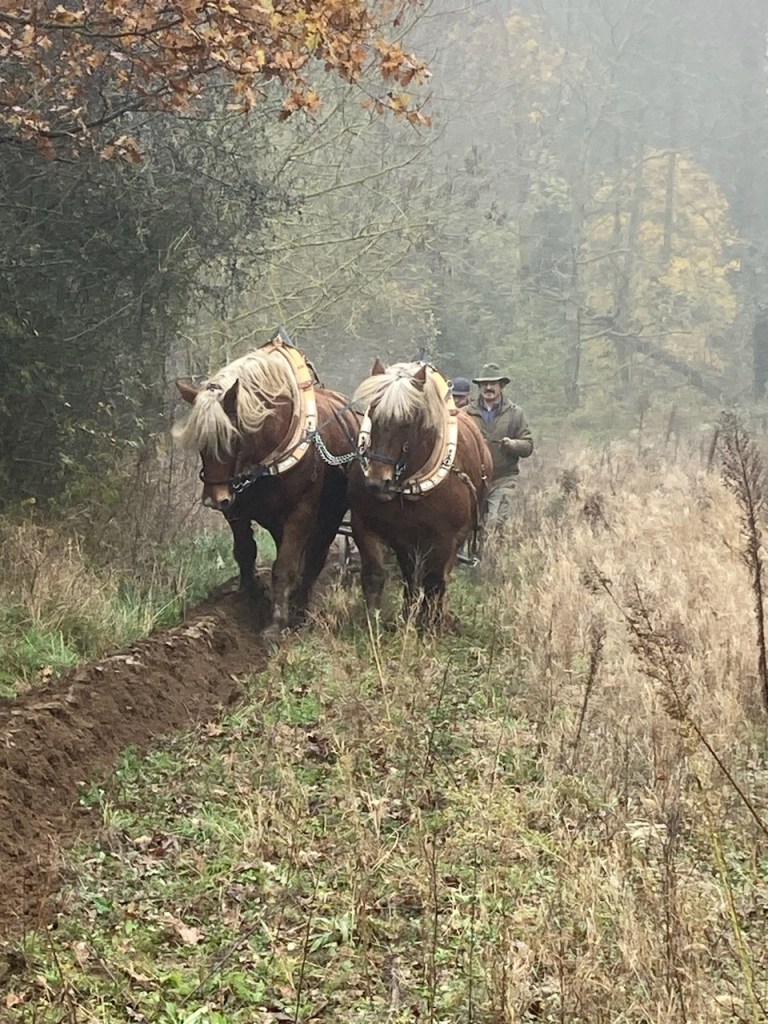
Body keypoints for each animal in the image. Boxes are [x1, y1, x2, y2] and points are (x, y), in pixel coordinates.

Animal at [174, 332, 359, 634]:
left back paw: (299, 607)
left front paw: (276, 624)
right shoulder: (236, 508)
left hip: (330, 514)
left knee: (315, 557)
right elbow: (245, 551)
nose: (214, 498)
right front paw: (251, 598)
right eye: (200, 440)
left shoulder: (301, 511)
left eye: (232, 436)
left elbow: (285, 565)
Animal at [348, 359, 492, 629]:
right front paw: (373, 624)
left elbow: (434, 582)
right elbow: (374, 574)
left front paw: (429, 626)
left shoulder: (444, 539)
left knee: (437, 578)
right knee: (410, 576)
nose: (377, 482)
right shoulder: (365, 525)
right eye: (372, 414)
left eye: (407, 421)